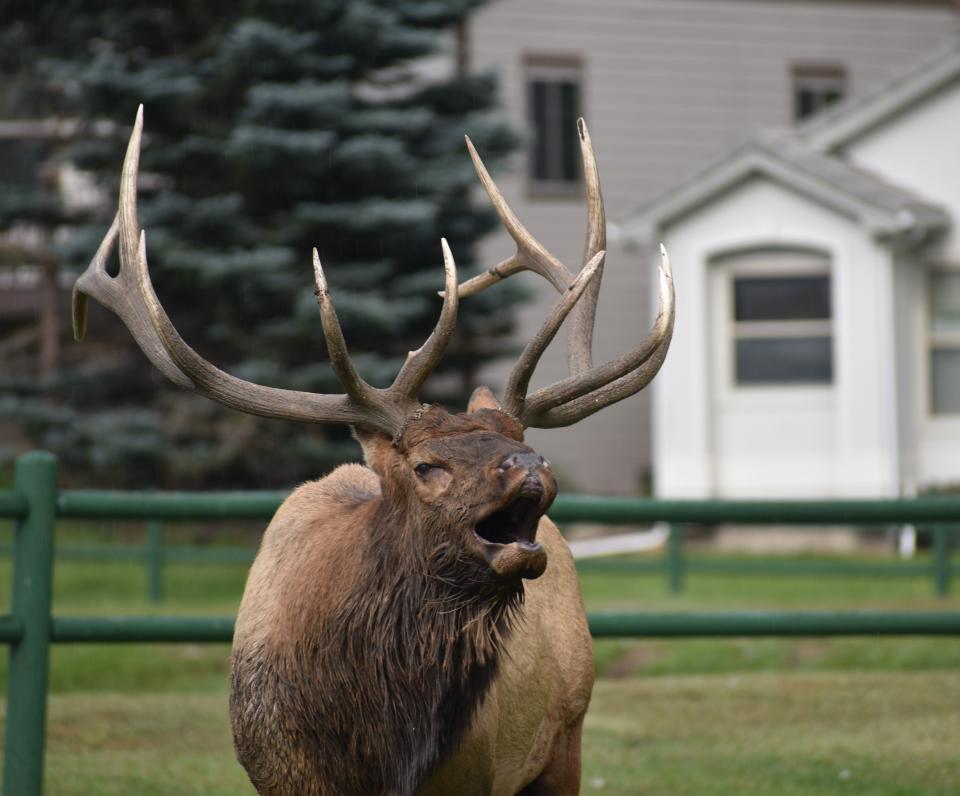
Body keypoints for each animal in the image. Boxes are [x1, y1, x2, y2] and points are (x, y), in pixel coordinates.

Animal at [73, 105, 676, 796]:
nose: (530, 465)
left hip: (565, 735)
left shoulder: (476, 774)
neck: (376, 745)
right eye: (425, 466)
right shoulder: (278, 771)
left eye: (520, 440)